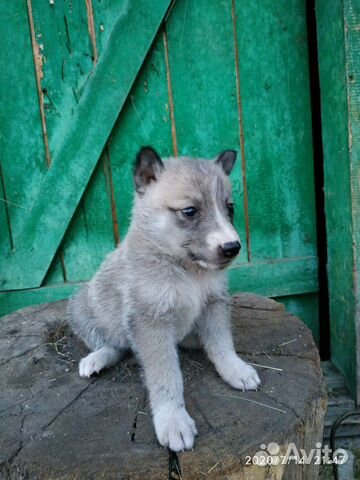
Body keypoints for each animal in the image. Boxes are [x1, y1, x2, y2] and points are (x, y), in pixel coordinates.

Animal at [67, 146, 260, 450]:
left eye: (229, 208)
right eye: (190, 211)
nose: (232, 247)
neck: (187, 270)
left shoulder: (213, 303)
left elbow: (222, 344)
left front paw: (235, 369)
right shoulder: (150, 322)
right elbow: (165, 376)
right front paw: (173, 420)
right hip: (81, 309)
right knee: (114, 345)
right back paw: (96, 359)